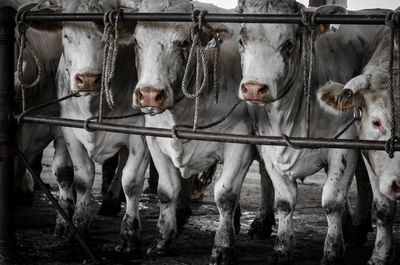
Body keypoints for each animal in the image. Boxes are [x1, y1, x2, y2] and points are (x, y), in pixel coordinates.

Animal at [236, 1, 386, 262]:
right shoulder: (269, 146)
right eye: (241, 41)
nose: (254, 89)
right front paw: (282, 248)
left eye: (288, 44)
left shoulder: (344, 144)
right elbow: (284, 201)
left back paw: (357, 228)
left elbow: (332, 201)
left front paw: (333, 251)